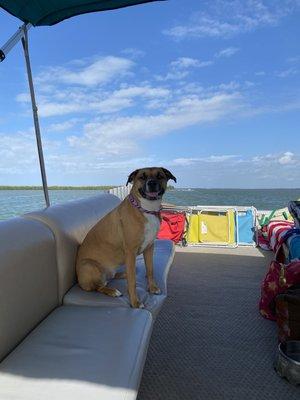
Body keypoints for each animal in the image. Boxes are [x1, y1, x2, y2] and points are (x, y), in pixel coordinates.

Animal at [76, 167, 177, 308]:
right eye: (142, 177)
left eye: (160, 176)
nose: (152, 183)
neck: (146, 209)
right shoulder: (130, 252)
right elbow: (132, 281)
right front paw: (135, 302)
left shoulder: (150, 247)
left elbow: (150, 270)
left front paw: (152, 288)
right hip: (89, 266)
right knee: (98, 287)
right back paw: (113, 291)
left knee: (112, 277)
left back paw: (122, 274)